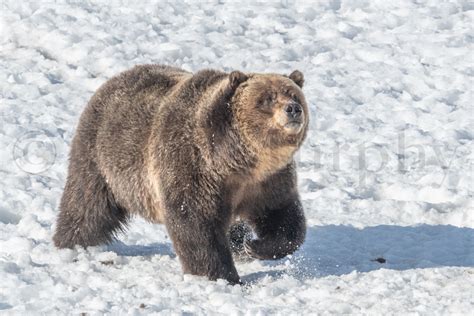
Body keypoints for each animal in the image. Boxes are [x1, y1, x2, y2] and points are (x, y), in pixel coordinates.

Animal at [53, 64, 310, 284]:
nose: (293, 109)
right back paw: (72, 245)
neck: (237, 162)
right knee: (87, 206)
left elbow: (282, 217)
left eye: (294, 94)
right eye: (267, 98)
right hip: (103, 157)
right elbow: (195, 224)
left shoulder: (268, 180)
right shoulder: (192, 166)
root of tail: (112, 80)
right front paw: (221, 276)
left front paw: (253, 245)